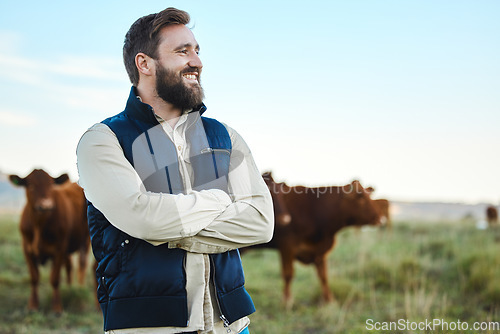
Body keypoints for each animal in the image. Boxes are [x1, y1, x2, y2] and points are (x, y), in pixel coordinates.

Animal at [9, 170, 90, 314]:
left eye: (51, 186)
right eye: (31, 186)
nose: (45, 205)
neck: (39, 226)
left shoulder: (59, 249)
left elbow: (55, 278)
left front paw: (56, 308)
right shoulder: (26, 249)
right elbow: (34, 277)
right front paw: (32, 306)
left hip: (85, 240)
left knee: (82, 265)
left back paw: (80, 293)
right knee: (69, 266)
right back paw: (69, 289)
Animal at [254, 174, 378, 310]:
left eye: (369, 195)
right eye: (360, 196)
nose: (378, 217)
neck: (315, 209)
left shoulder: (319, 252)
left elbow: (323, 276)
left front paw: (330, 300)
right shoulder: (287, 246)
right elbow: (288, 274)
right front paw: (287, 301)